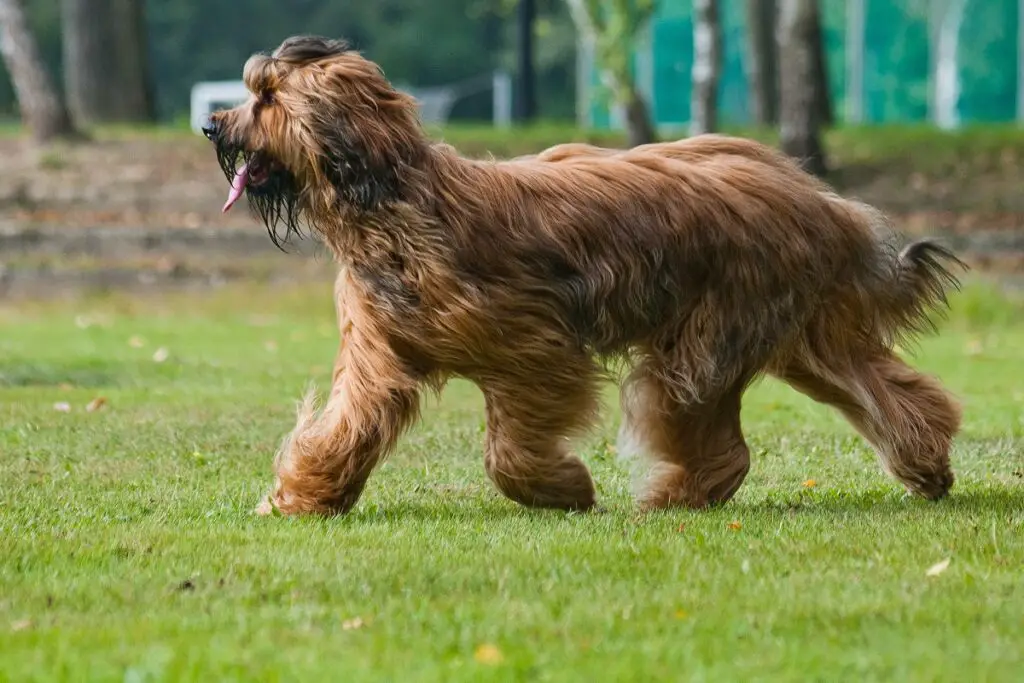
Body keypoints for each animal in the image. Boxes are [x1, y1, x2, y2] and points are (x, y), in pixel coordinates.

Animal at [203, 34, 962, 516]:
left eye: (267, 100)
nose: (212, 125)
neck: (392, 200)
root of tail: (818, 197)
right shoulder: (379, 354)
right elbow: (347, 425)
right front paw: (302, 495)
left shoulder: (534, 348)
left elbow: (510, 445)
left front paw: (561, 488)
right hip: (796, 331)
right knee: (884, 387)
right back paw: (927, 465)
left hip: (706, 336)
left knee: (713, 428)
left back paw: (678, 495)